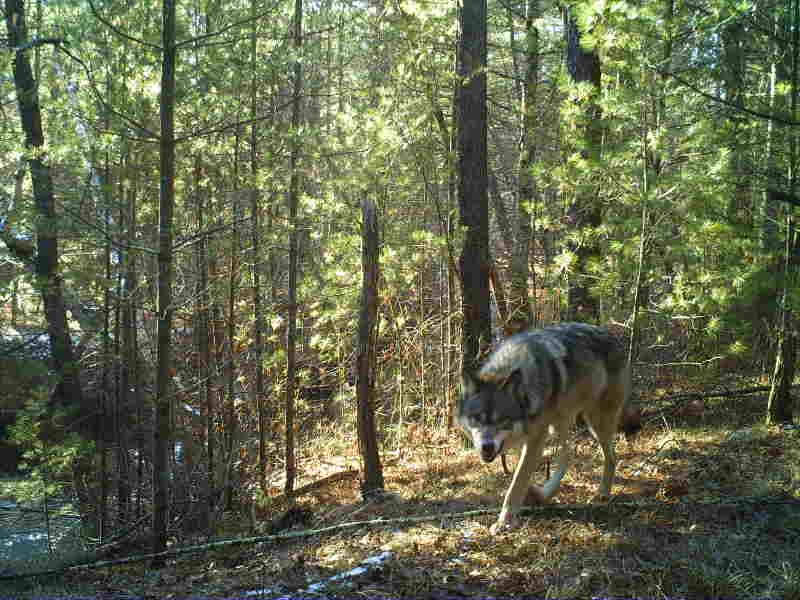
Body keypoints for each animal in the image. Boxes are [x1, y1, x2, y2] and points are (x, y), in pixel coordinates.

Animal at [456, 324, 636, 536]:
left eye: (503, 420)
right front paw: (529, 496)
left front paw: (505, 522)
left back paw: (602, 493)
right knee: (569, 454)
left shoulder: (536, 438)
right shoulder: (528, 438)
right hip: (561, 423)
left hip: (595, 422)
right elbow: (521, 475)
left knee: (611, 456)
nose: (487, 447)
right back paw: (543, 494)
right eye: (476, 418)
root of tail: (613, 336)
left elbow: (517, 482)